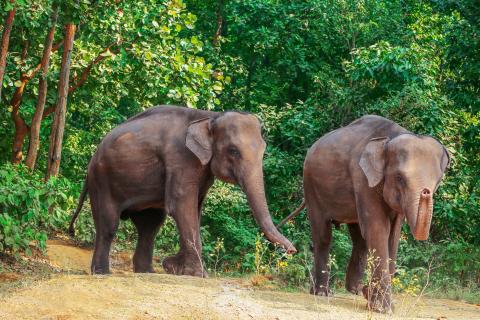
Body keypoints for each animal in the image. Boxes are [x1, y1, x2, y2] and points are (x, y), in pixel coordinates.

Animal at [68, 105, 296, 276]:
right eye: (233, 151)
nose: (293, 249)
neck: (210, 117)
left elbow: (195, 208)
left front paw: (177, 267)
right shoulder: (182, 158)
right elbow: (182, 205)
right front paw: (195, 273)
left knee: (150, 226)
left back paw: (147, 272)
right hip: (101, 180)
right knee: (109, 224)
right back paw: (102, 273)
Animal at [280, 115, 448, 312]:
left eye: (438, 180)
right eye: (399, 178)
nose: (426, 192)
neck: (387, 140)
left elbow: (393, 236)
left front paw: (372, 299)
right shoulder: (362, 178)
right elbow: (378, 230)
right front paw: (383, 309)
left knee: (358, 238)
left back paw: (354, 290)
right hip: (311, 186)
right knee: (323, 235)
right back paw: (322, 293)